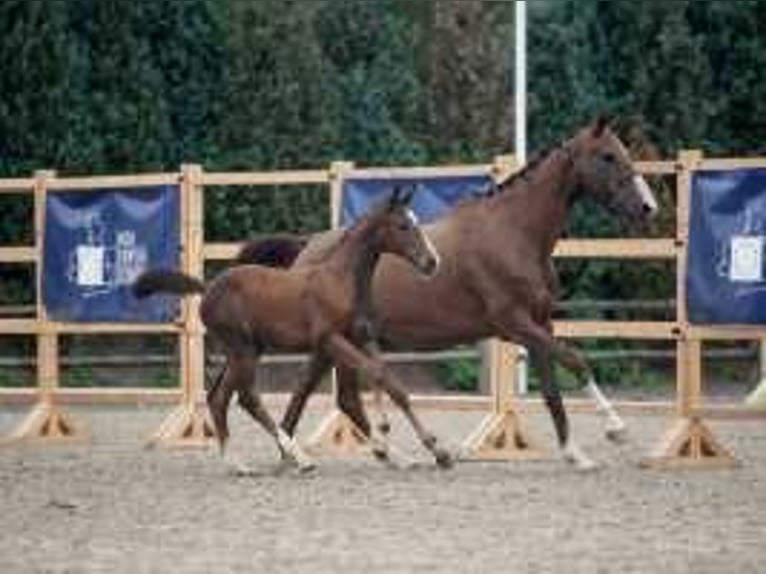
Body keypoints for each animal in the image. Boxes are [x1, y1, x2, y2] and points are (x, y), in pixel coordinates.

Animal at [131, 187, 444, 474]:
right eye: (403, 226)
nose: (432, 262)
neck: (341, 280)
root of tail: (208, 289)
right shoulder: (329, 339)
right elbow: (375, 375)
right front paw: (397, 436)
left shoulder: (362, 336)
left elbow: (391, 383)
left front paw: (426, 452)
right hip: (242, 348)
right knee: (246, 397)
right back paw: (299, 458)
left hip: (247, 349)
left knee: (220, 397)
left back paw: (238, 463)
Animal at [240, 117, 660, 472]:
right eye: (608, 156)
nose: (647, 207)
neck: (515, 234)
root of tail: (308, 247)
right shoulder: (515, 322)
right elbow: (577, 361)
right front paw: (616, 428)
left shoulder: (539, 323)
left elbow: (553, 391)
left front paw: (575, 453)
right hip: (335, 342)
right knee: (323, 396)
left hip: (340, 342)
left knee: (333, 398)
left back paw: (354, 455)